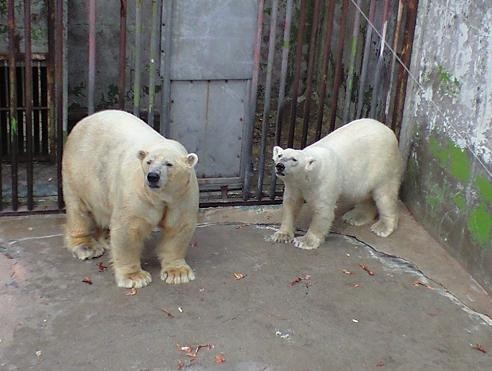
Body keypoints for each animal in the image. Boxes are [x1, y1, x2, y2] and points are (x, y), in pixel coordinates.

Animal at [62, 109, 199, 290]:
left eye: (169, 164)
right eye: (148, 162)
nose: (152, 176)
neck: (160, 196)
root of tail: (83, 121)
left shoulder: (181, 196)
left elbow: (178, 228)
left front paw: (177, 273)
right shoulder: (136, 193)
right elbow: (128, 229)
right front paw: (135, 277)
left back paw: (106, 238)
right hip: (79, 171)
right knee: (78, 208)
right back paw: (87, 247)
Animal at [270, 119, 402, 250]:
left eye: (294, 159)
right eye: (280, 155)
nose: (280, 166)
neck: (309, 176)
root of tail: (389, 131)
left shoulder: (324, 183)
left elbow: (323, 211)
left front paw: (304, 241)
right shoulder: (294, 186)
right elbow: (291, 204)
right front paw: (282, 235)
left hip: (383, 165)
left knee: (385, 196)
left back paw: (382, 227)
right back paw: (355, 217)